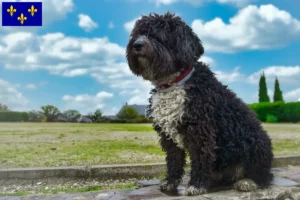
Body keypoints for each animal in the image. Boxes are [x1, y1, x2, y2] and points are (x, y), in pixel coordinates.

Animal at [125, 12, 274, 195]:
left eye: (158, 34)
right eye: (137, 34)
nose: (137, 44)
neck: (173, 83)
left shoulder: (201, 131)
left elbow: (200, 158)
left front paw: (196, 184)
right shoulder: (168, 136)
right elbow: (174, 160)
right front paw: (170, 182)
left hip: (256, 143)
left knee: (265, 177)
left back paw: (248, 182)